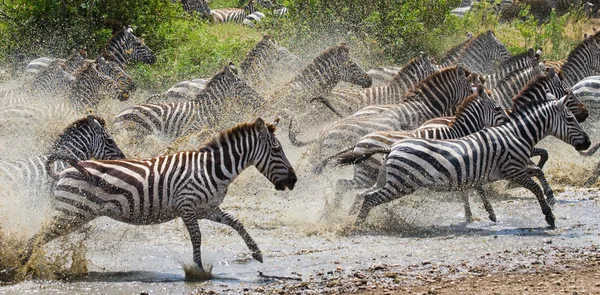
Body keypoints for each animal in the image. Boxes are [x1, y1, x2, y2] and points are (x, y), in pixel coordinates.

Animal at [17, 118, 298, 276]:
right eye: (277, 150)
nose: (294, 181)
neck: (211, 168)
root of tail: (66, 169)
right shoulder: (187, 206)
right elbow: (197, 237)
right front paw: (198, 271)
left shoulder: (207, 208)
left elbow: (237, 222)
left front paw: (257, 253)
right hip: (71, 213)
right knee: (37, 237)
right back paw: (21, 264)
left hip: (74, 214)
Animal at [342, 93, 592, 229]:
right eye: (570, 119)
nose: (588, 142)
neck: (514, 134)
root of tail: (391, 147)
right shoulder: (512, 169)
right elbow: (534, 186)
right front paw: (549, 216)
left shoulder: (513, 168)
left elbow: (538, 173)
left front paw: (551, 197)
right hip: (401, 184)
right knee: (370, 198)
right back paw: (356, 226)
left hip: (387, 178)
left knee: (363, 194)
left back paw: (348, 219)